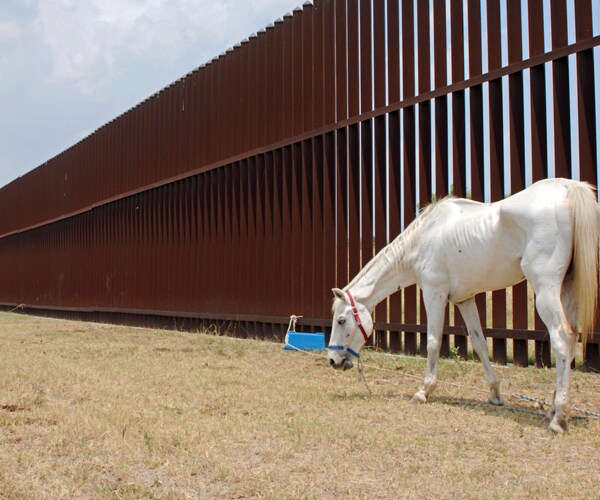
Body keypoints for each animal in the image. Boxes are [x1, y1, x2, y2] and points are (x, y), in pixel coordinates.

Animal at [328, 178, 600, 432]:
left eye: (341, 320)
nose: (332, 361)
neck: (423, 238)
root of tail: (567, 188)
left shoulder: (434, 293)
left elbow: (433, 342)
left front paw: (423, 391)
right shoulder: (464, 299)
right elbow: (479, 343)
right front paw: (495, 393)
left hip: (546, 290)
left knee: (561, 338)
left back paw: (559, 417)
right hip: (567, 287)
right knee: (571, 339)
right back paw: (553, 409)